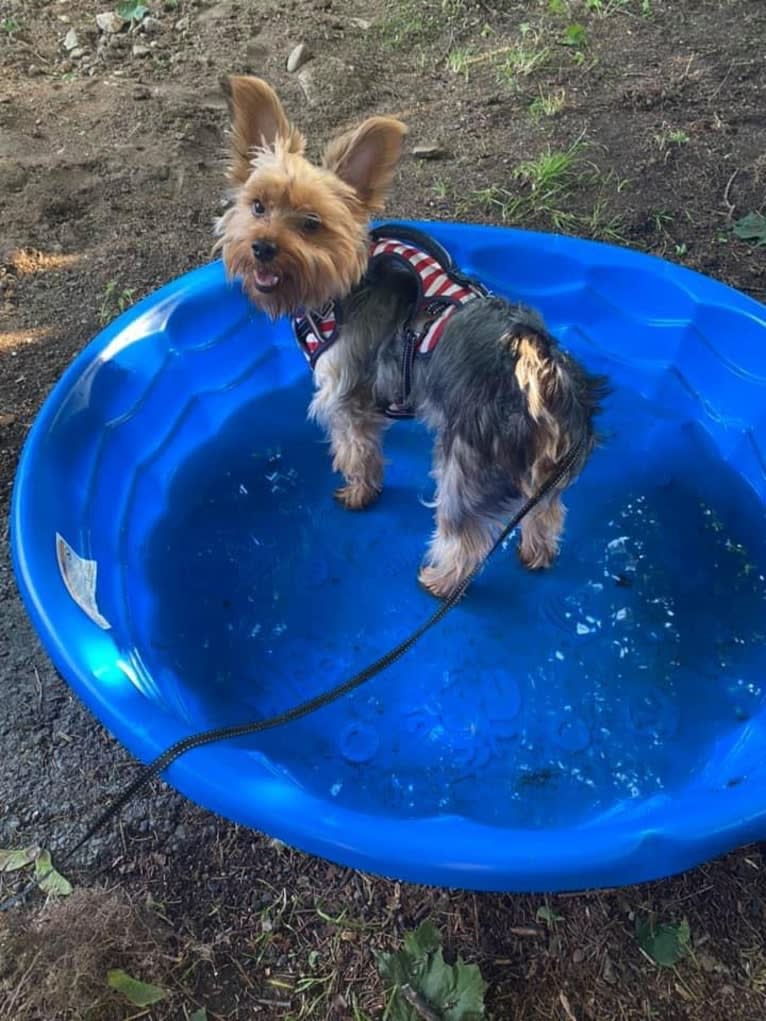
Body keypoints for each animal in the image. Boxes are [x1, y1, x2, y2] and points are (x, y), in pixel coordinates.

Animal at [213, 77, 608, 596]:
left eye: (312, 224)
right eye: (257, 206)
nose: (261, 247)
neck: (343, 286)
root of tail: (540, 375)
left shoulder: (345, 393)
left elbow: (356, 450)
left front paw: (360, 491)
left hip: (466, 468)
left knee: (464, 537)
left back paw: (440, 581)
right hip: (542, 477)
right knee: (546, 512)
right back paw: (535, 553)